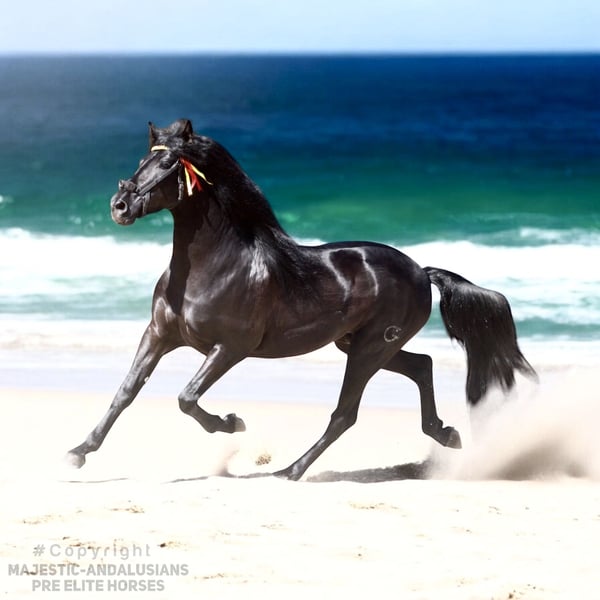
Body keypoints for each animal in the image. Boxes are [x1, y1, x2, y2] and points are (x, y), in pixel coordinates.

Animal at [66, 119, 536, 480]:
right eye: (140, 161)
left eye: (166, 165)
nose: (119, 205)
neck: (211, 268)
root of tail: (421, 271)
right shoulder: (159, 335)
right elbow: (126, 392)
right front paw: (78, 452)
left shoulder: (229, 348)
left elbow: (186, 397)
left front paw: (232, 423)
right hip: (361, 345)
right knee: (422, 365)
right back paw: (446, 433)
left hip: (369, 349)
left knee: (345, 413)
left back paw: (289, 471)